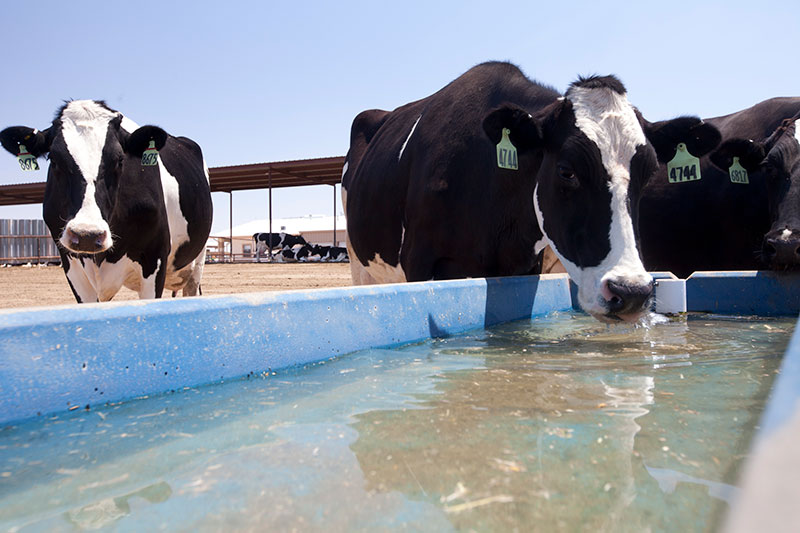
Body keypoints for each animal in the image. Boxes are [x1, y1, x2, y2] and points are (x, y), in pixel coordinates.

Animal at [0, 98, 212, 300]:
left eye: (119, 159)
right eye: (54, 159)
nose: (86, 235)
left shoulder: (155, 258)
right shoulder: (72, 264)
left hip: (197, 261)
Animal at [342, 62, 720, 320]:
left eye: (649, 173)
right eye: (567, 171)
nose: (631, 291)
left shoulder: (523, 266)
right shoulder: (420, 261)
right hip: (360, 262)